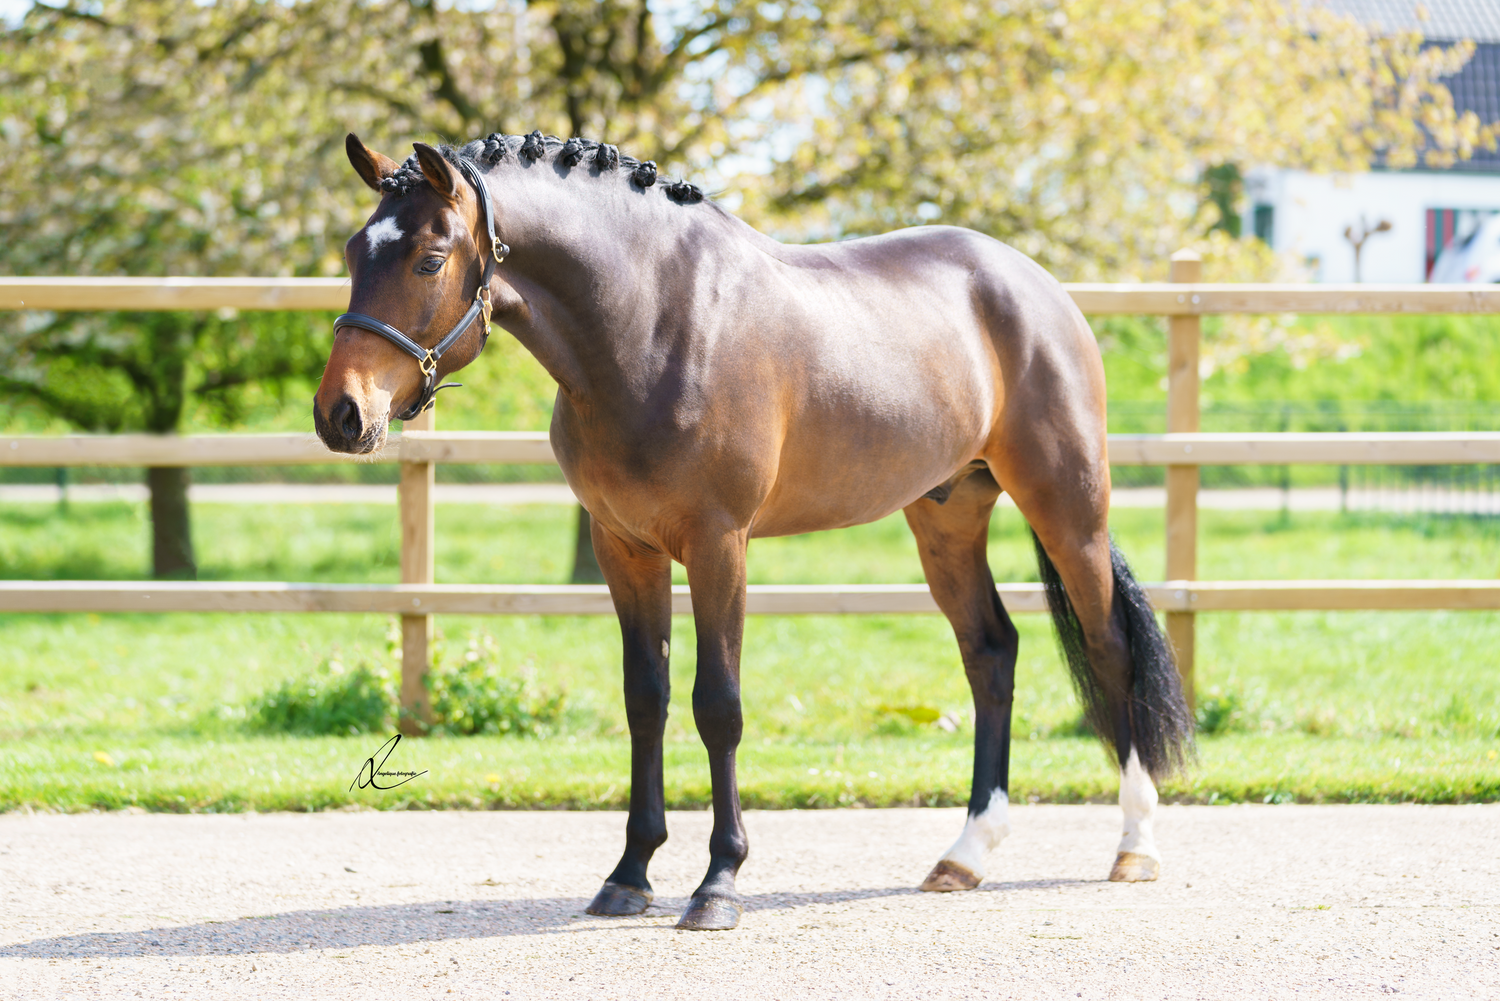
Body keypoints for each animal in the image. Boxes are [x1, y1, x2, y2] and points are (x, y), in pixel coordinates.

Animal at [314, 130, 1194, 932]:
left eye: (429, 260)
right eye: (356, 249)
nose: (340, 413)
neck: (650, 323)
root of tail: (1035, 283)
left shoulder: (718, 544)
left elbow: (718, 703)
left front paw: (718, 883)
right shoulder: (622, 546)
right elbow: (646, 697)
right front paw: (630, 874)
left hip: (1067, 503)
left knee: (1110, 645)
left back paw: (1136, 844)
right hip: (947, 512)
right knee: (990, 651)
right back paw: (965, 854)